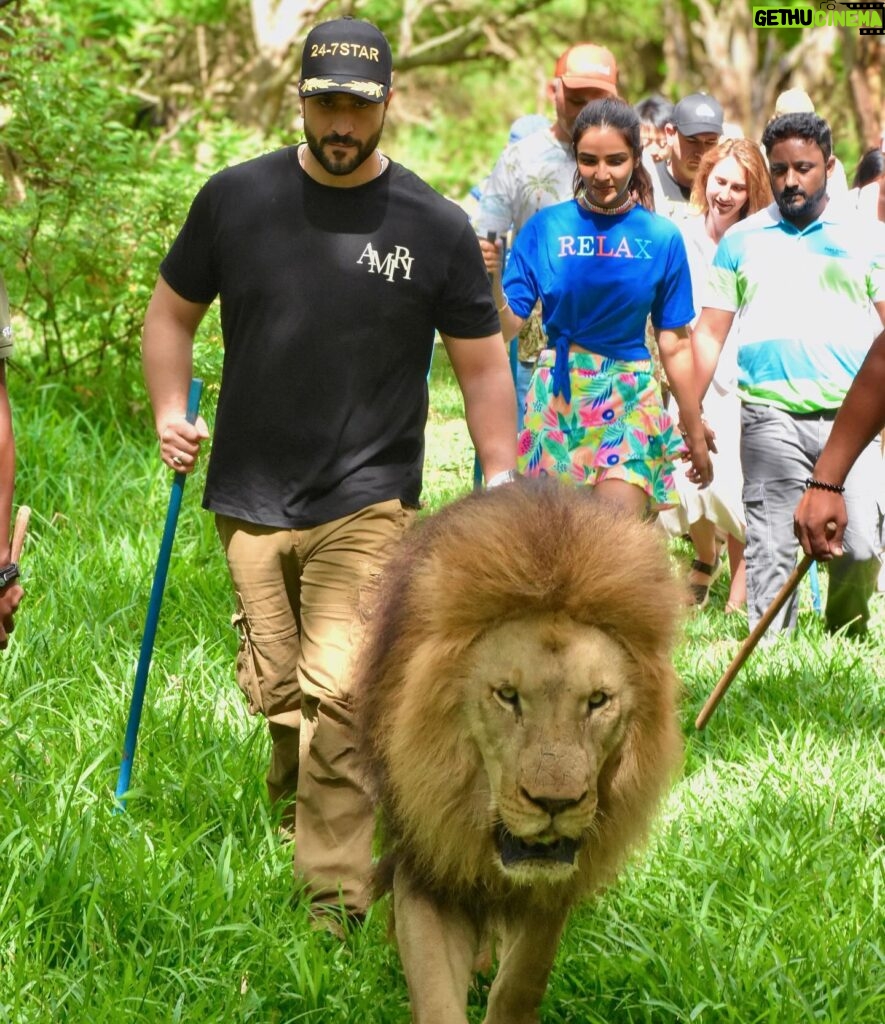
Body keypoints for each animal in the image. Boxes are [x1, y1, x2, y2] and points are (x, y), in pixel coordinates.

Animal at [356, 479, 688, 1024]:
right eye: (507, 695)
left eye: (598, 701)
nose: (555, 804)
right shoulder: (425, 862)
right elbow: (436, 996)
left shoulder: (552, 889)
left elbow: (521, 982)